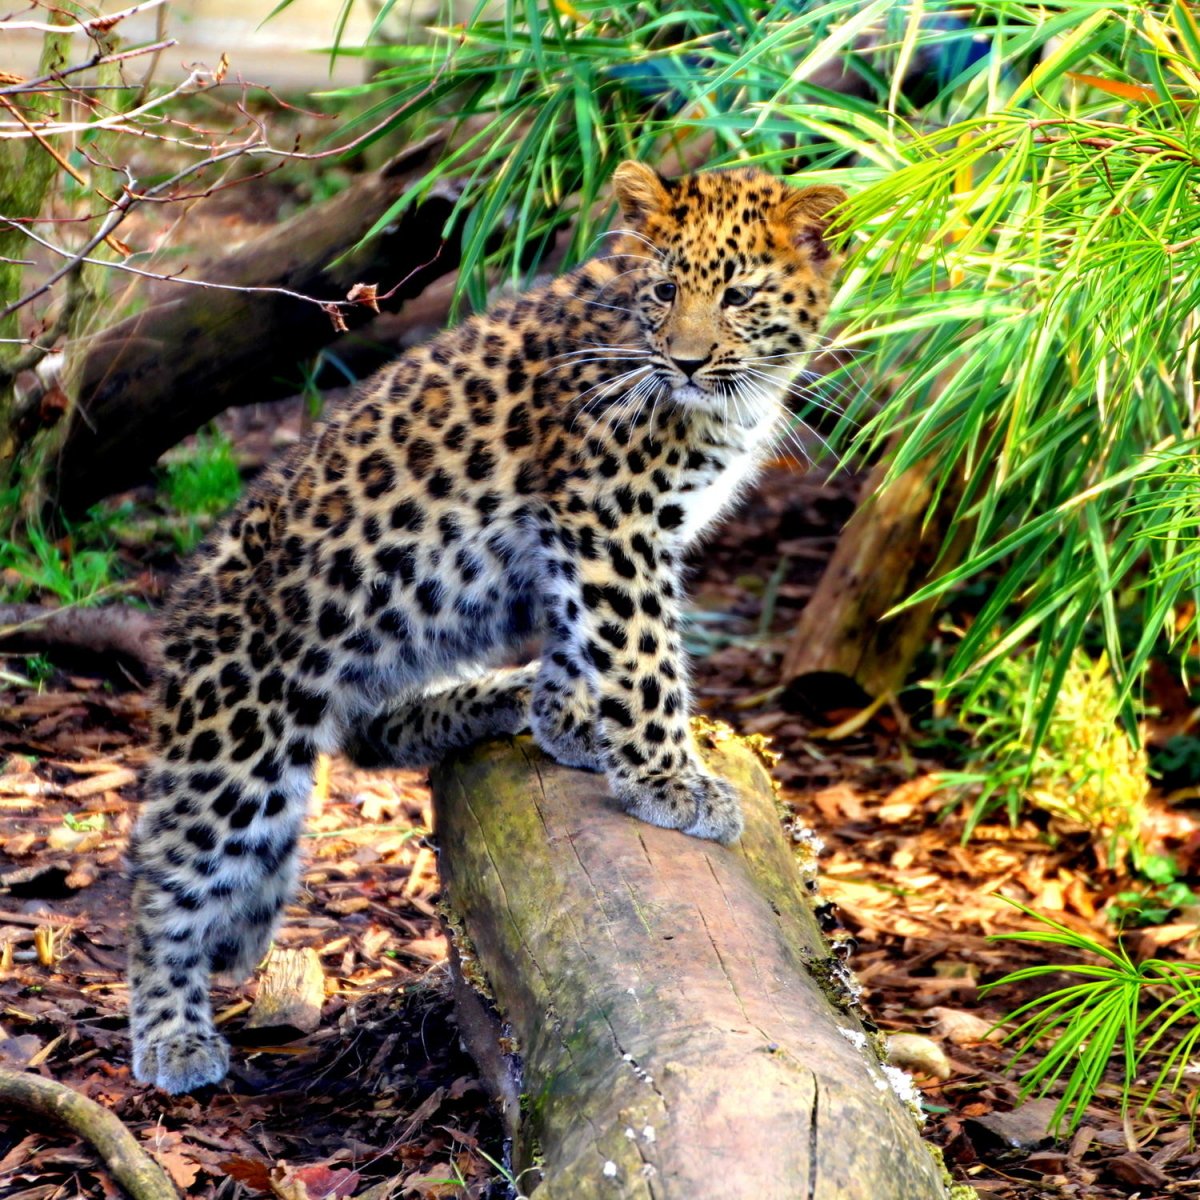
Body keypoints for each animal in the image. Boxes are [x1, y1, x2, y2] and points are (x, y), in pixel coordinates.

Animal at [127, 160, 847, 1093]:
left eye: (737, 295)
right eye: (664, 291)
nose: (685, 360)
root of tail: (183, 607)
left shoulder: (582, 539)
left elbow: (586, 636)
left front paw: (569, 721)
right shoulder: (609, 519)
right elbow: (641, 651)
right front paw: (667, 779)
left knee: (367, 735)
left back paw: (496, 696)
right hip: (241, 744)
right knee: (165, 876)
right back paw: (172, 1035)